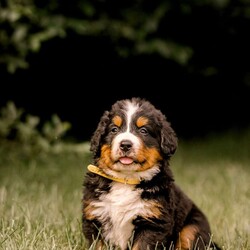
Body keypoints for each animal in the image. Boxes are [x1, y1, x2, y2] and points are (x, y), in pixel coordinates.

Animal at [81, 96, 219, 249]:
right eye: (114, 129)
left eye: (143, 131)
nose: (125, 144)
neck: (125, 179)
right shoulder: (95, 218)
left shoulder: (153, 223)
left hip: (192, 228)